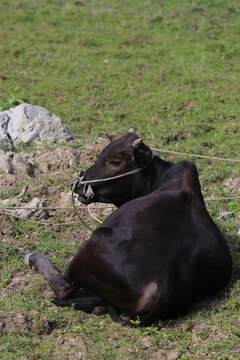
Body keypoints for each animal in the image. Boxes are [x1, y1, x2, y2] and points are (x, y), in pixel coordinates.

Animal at [23, 130, 231, 326]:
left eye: (115, 161)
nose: (75, 184)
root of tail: (159, 289)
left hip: (91, 246)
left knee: (64, 289)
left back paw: (34, 258)